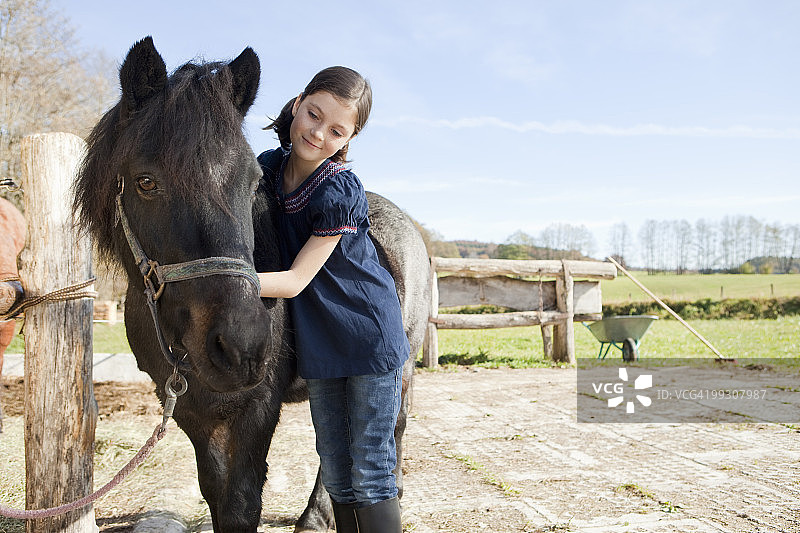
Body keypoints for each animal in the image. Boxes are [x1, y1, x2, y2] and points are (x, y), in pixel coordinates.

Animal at [73, 37, 429, 532]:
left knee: (386, 435)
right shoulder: (192, 412)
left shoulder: (257, 410)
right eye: (145, 182)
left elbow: (242, 505)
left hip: (401, 368)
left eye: (252, 180)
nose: (241, 347)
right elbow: (216, 495)